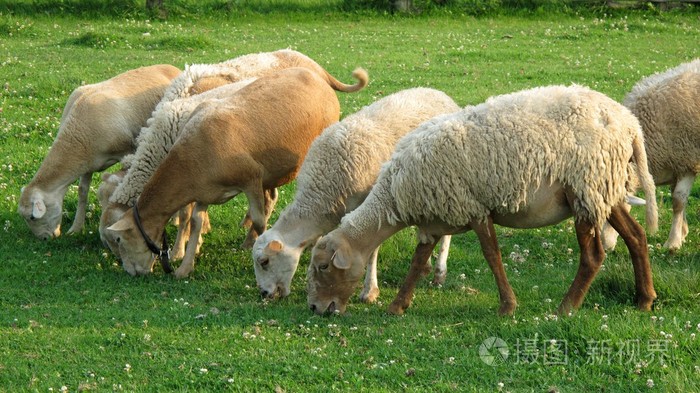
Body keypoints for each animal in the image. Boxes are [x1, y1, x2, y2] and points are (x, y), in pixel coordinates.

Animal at [18, 63, 182, 239]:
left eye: (32, 217)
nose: (44, 239)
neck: (78, 132)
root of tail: (171, 66)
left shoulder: (127, 151)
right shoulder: (87, 162)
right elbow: (82, 192)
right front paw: (76, 227)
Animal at [252, 87, 460, 302]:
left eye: (264, 261)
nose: (264, 293)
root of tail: (438, 92)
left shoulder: (370, 211)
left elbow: (371, 251)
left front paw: (369, 291)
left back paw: (439, 272)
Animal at [304, 85, 656, 316]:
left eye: (323, 266)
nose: (315, 308)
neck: (396, 194)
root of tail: (629, 123)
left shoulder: (473, 207)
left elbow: (492, 256)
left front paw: (507, 307)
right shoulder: (434, 220)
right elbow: (418, 262)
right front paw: (398, 305)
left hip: (583, 188)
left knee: (593, 256)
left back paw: (566, 307)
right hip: (605, 190)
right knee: (636, 236)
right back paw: (644, 299)